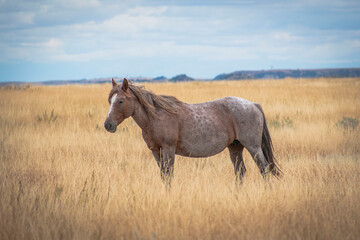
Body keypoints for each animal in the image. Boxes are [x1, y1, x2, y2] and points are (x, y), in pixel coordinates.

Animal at [103, 78, 282, 185]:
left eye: (120, 101)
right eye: (110, 100)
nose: (108, 125)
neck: (157, 117)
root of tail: (253, 104)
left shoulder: (168, 149)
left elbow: (169, 175)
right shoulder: (155, 151)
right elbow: (163, 175)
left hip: (253, 147)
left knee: (264, 169)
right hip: (235, 147)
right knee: (240, 171)